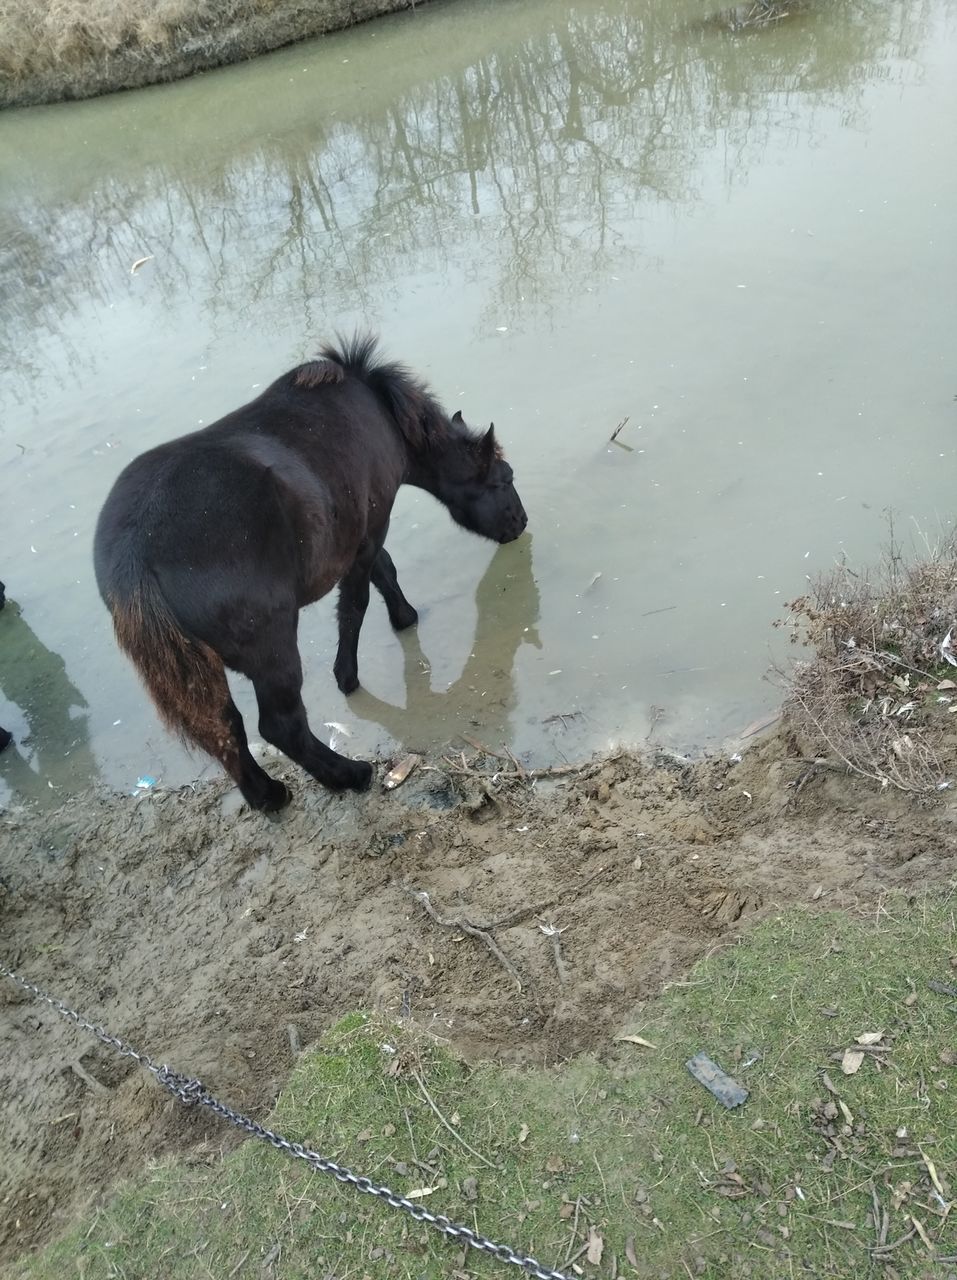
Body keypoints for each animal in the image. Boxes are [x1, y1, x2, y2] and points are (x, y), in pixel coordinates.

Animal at [93, 332, 527, 808]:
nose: (521, 522)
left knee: (225, 730)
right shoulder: (371, 527)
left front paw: (404, 617)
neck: (379, 410)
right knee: (281, 726)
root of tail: (136, 553)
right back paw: (348, 774)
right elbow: (358, 600)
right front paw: (349, 673)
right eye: (504, 478)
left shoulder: (364, 533)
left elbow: (383, 574)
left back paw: (268, 795)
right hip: (272, 647)